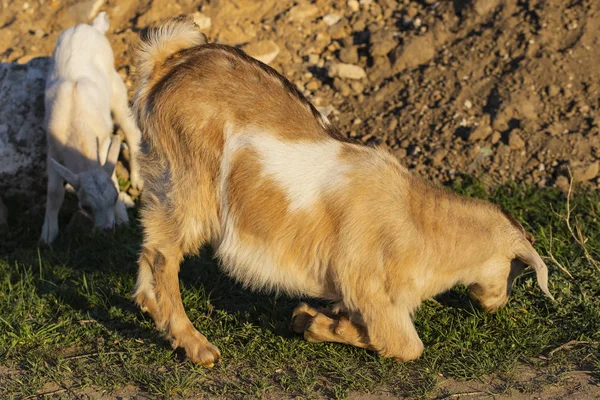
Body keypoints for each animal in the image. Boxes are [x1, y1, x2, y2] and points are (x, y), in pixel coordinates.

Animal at [41, 11, 143, 244]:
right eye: (85, 206)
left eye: (115, 198)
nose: (107, 229)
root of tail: (92, 27)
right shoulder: (53, 149)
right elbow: (54, 192)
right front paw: (48, 233)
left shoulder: (103, 141)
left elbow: (112, 173)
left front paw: (121, 216)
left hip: (115, 86)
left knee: (131, 129)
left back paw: (137, 179)